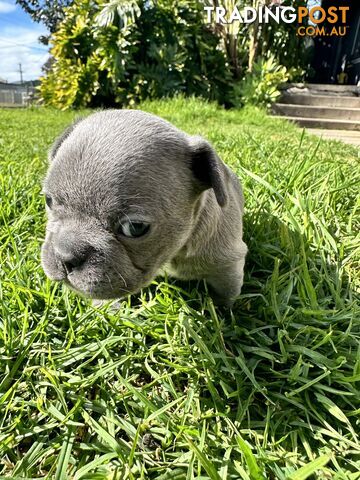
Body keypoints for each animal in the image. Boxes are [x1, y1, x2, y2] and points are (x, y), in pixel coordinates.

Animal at [40, 109, 248, 306]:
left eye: (134, 228)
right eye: (48, 200)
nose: (64, 256)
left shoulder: (229, 265)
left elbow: (226, 295)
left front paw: (223, 314)